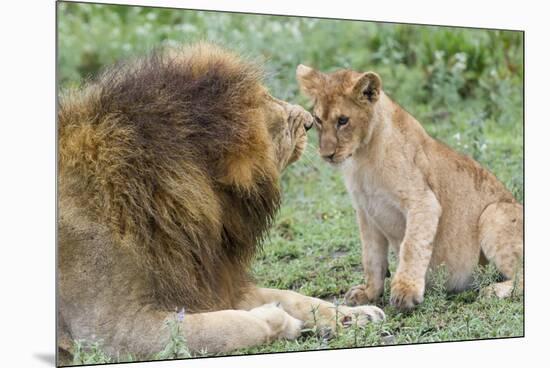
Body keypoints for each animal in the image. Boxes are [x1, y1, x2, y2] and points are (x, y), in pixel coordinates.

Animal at [57, 43, 384, 362]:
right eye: (266, 103)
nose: (307, 122)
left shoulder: (209, 282)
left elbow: (294, 297)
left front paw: (353, 315)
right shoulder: (112, 329)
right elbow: (231, 325)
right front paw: (279, 321)